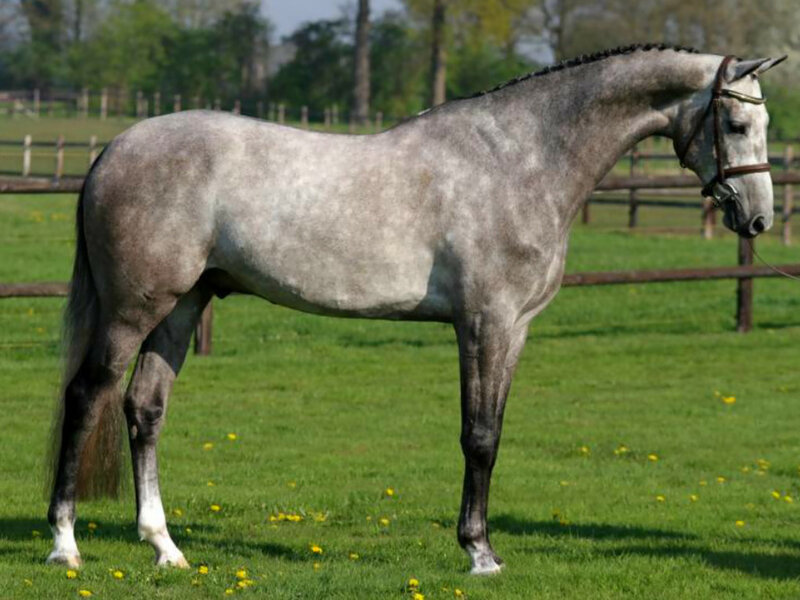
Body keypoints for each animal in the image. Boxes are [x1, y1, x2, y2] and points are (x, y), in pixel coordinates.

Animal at [45, 45, 785, 575]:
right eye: (737, 123)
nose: (758, 220)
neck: (521, 160)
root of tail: (114, 149)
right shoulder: (485, 322)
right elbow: (478, 436)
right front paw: (480, 553)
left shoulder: (514, 330)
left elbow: (494, 432)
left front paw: (481, 544)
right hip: (135, 308)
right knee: (87, 396)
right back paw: (65, 544)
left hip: (181, 306)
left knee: (144, 408)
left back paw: (164, 547)